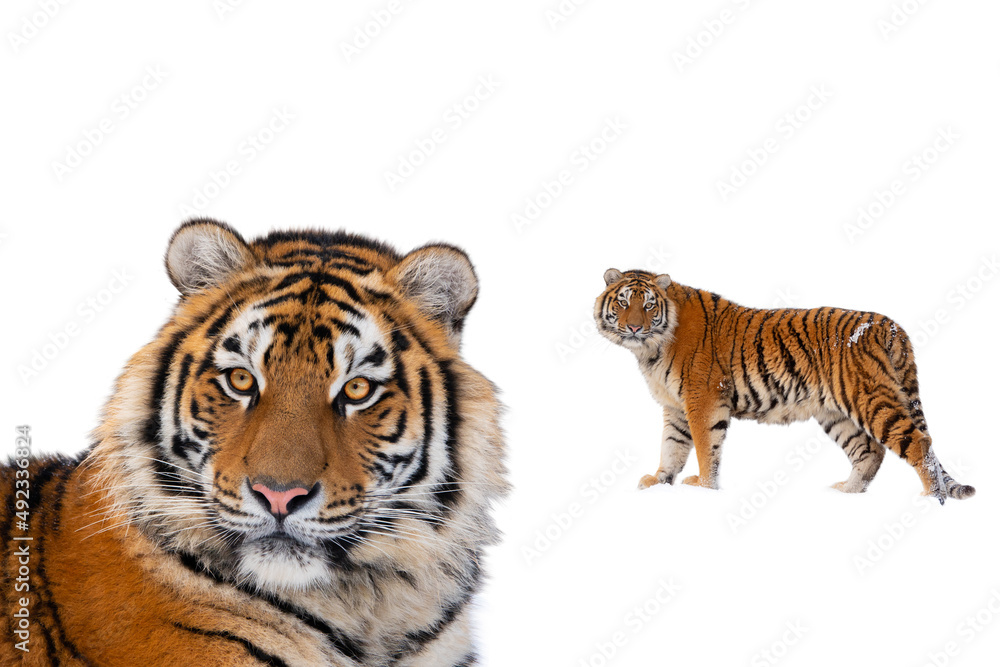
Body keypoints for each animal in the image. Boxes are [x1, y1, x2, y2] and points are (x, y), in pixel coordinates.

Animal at [594, 268, 975, 504]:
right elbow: (671, 447)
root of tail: (888, 324)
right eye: (623, 302)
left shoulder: (702, 399)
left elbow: (705, 449)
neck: (650, 349)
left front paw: (703, 489)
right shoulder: (674, 406)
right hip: (835, 413)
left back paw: (930, 499)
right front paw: (658, 482)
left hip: (869, 397)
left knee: (919, 443)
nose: (633, 327)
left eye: (648, 305)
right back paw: (845, 492)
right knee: (870, 451)